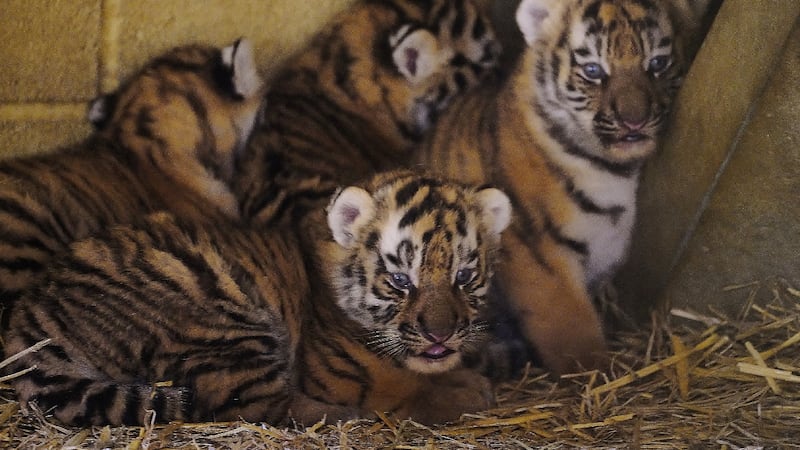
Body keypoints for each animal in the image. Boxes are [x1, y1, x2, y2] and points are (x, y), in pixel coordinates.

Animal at [3, 170, 512, 426]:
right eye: (401, 280)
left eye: (464, 276)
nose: (441, 335)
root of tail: (29, 319)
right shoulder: (344, 375)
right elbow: (405, 386)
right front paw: (467, 390)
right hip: (225, 320)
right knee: (256, 406)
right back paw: (344, 419)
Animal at [415, 0, 688, 375]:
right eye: (593, 70)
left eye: (658, 63)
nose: (635, 122)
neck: (611, 167)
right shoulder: (536, 249)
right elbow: (568, 322)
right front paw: (594, 372)